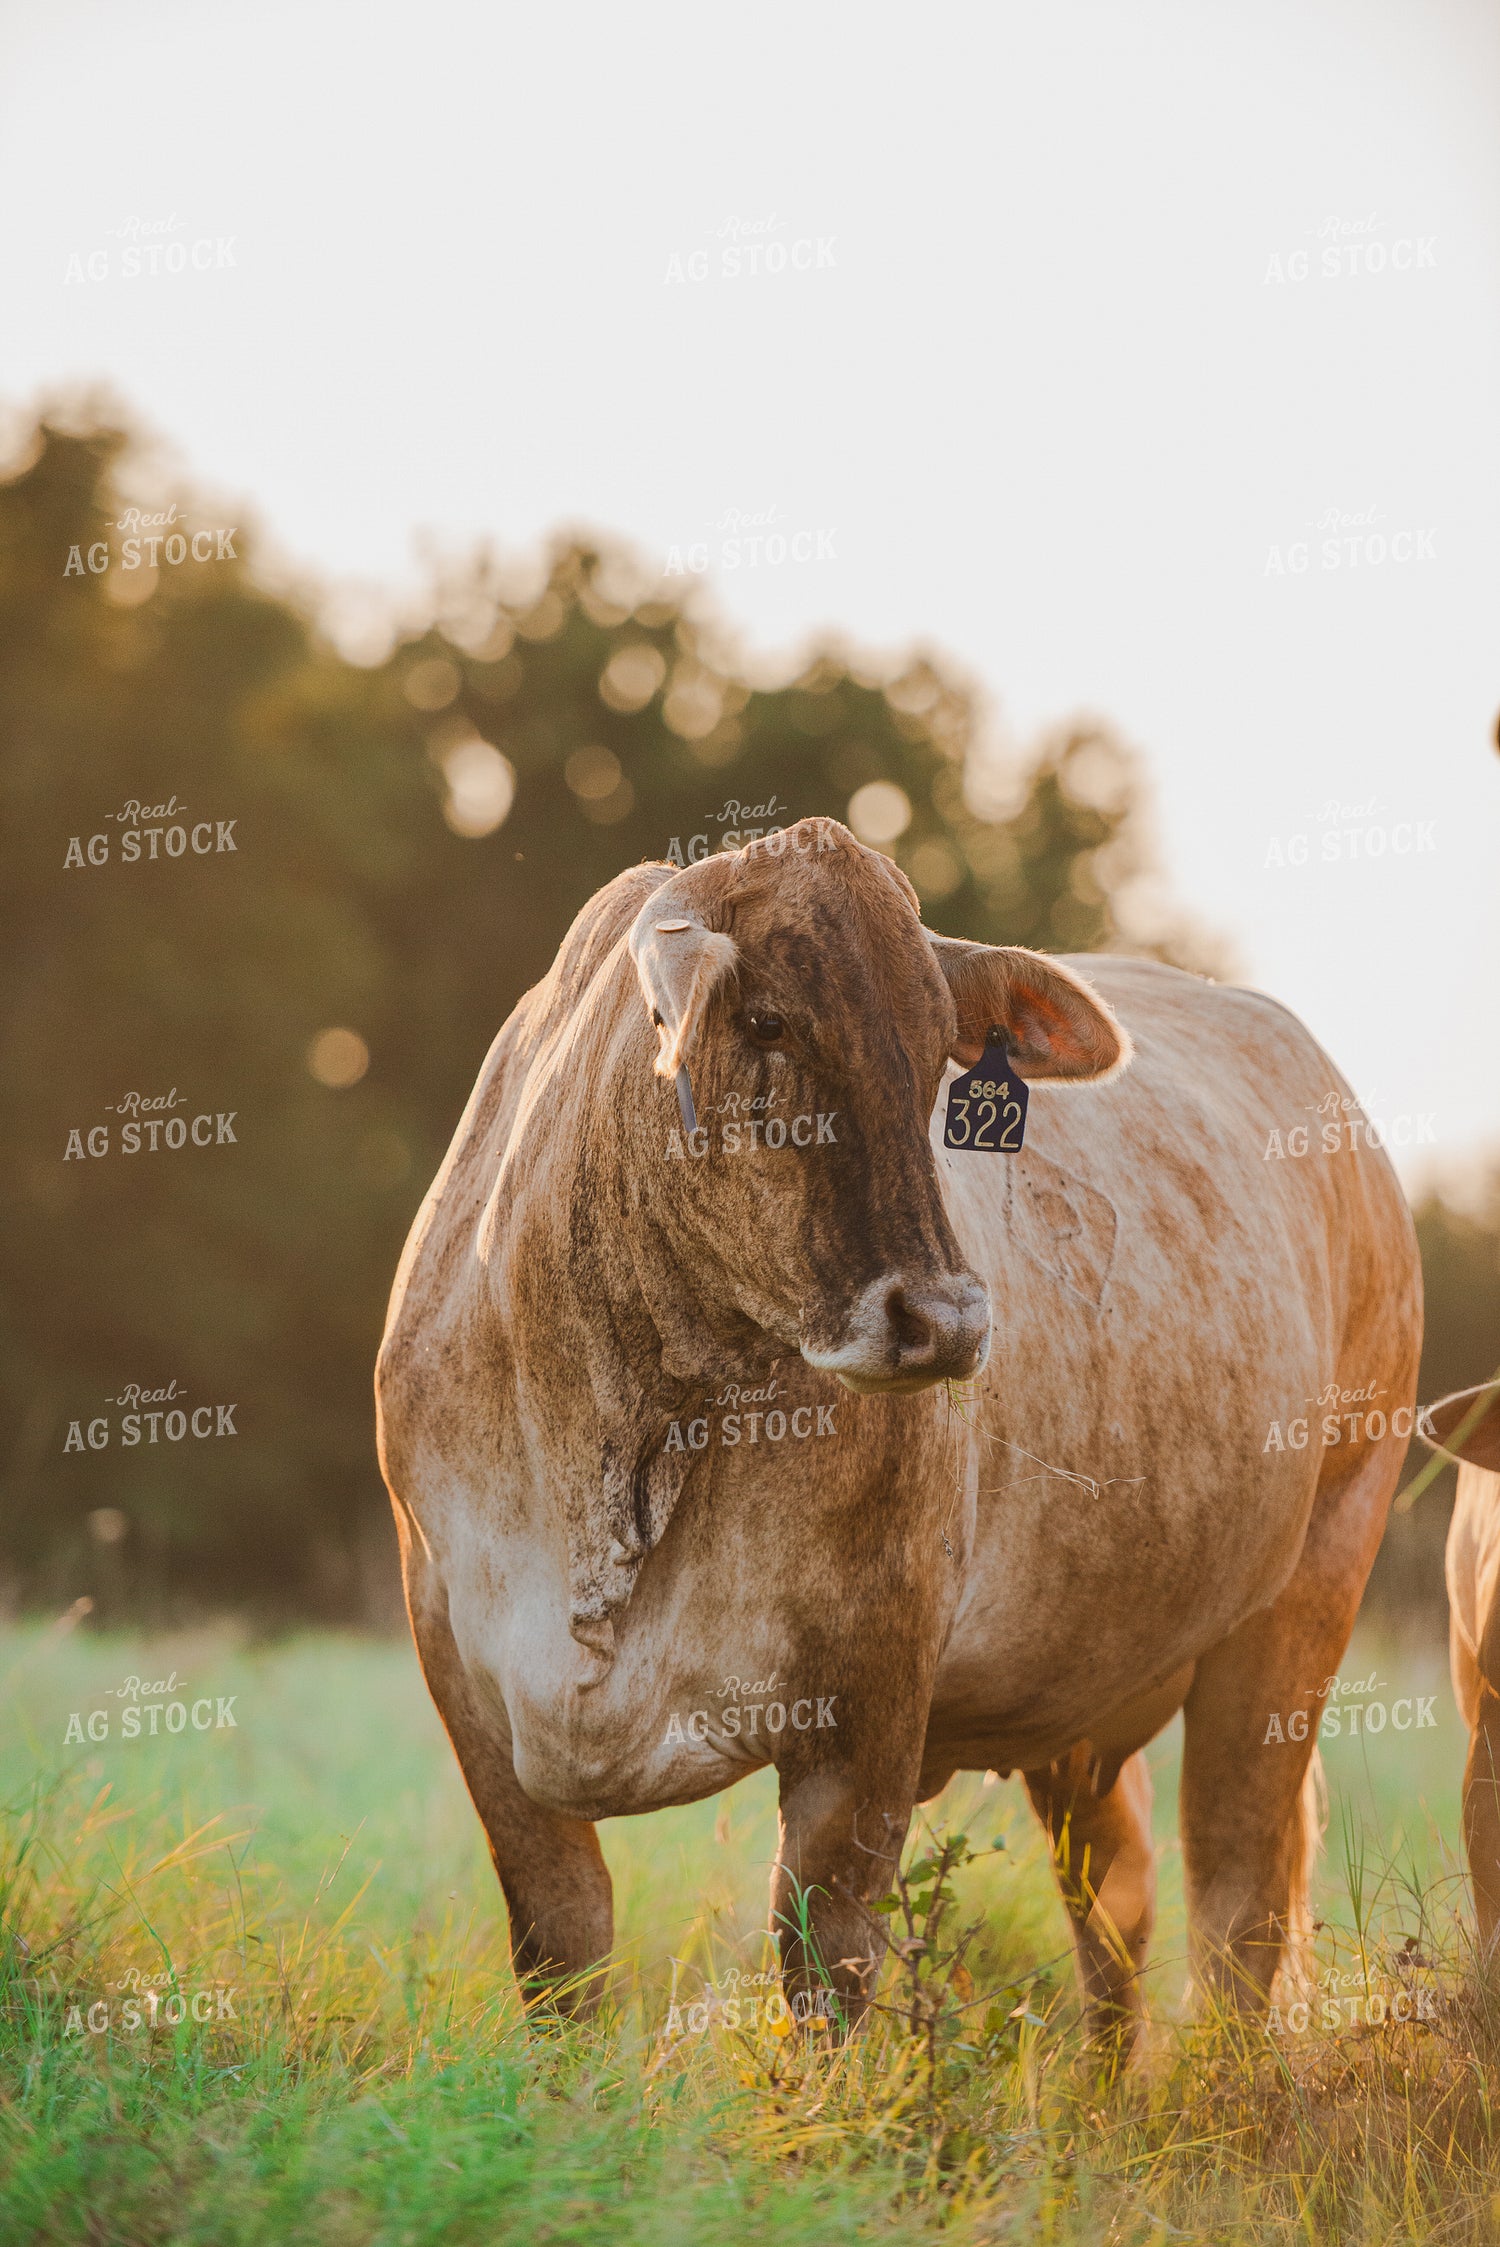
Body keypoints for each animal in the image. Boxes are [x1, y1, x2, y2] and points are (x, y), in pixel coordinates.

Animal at [375, 816, 1422, 2040]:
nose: (947, 1319)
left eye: (939, 1052)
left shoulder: (865, 1707)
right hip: (1081, 1696)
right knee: (1116, 1906)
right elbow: (563, 1950)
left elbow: (824, 1971)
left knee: (1236, 1908)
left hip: (1305, 1598)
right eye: (766, 1021)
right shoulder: (471, 1681)